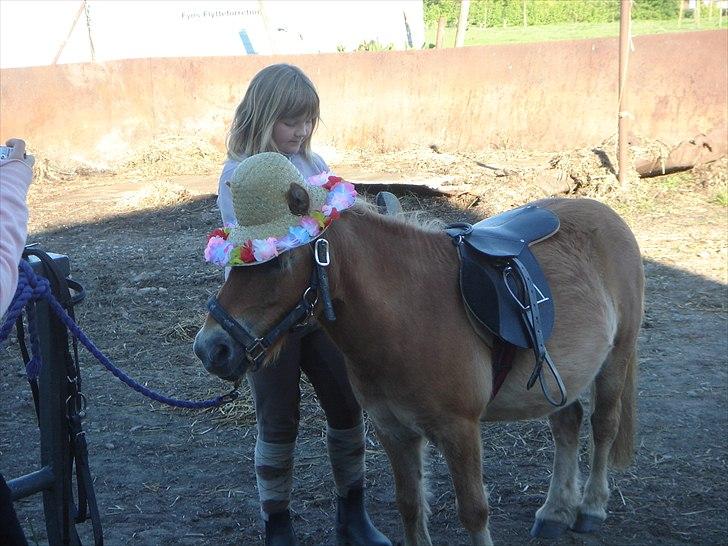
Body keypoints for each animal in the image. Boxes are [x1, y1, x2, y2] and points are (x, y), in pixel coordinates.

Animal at [193, 196, 644, 544]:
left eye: (278, 262)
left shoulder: (460, 430)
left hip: (615, 360)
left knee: (603, 425)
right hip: (560, 377)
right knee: (567, 424)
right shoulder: (393, 430)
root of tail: (611, 217)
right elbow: (410, 505)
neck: (410, 315)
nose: (211, 348)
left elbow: (473, 511)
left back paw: (590, 508)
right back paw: (554, 512)